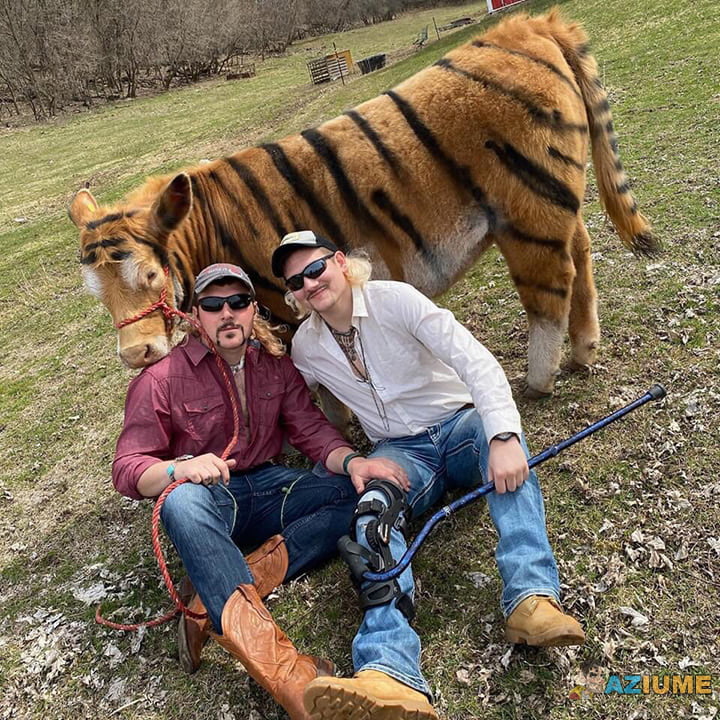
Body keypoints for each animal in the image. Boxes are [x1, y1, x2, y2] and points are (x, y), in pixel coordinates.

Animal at [69, 9, 658, 397]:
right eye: (97, 294)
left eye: (150, 275)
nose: (135, 355)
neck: (205, 224)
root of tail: (530, 25)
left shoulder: (290, 310)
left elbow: (318, 391)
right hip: (556, 200)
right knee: (582, 253)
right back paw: (584, 352)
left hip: (525, 212)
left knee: (550, 287)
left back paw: (538, 380)